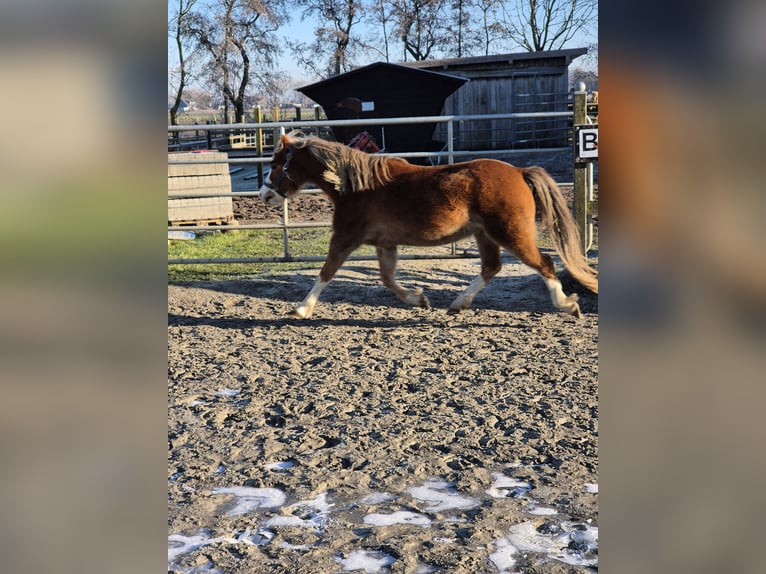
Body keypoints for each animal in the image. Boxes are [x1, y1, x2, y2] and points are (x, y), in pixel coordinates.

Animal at [262, 133, 600, 322]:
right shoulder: (385, 244)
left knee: (544, 263)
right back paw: (457, 304)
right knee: (491, 268)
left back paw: (567, 305)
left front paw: (302, 309)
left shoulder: (345, 237)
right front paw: (418, 299)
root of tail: (518, 170)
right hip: (485, 235)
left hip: (511, 234)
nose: (265, 194)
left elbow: (327, 272)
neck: (354, 186)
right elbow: (387, 278)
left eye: (277, 164)